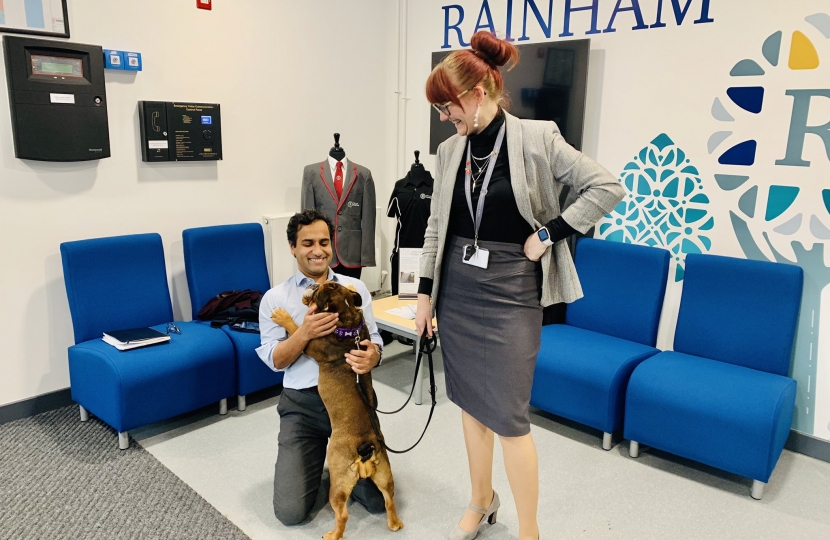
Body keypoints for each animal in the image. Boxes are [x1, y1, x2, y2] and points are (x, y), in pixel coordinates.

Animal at [272, 280, 404, 536]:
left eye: (317, 291)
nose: (315, 284)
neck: (347, 320)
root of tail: (365, 445)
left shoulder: (309, 344)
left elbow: (296, 328)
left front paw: (282, 316)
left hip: (339, 479)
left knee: (342, 514)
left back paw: (332, 535)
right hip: (385, 473)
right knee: (388, 500)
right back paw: (395, 524)